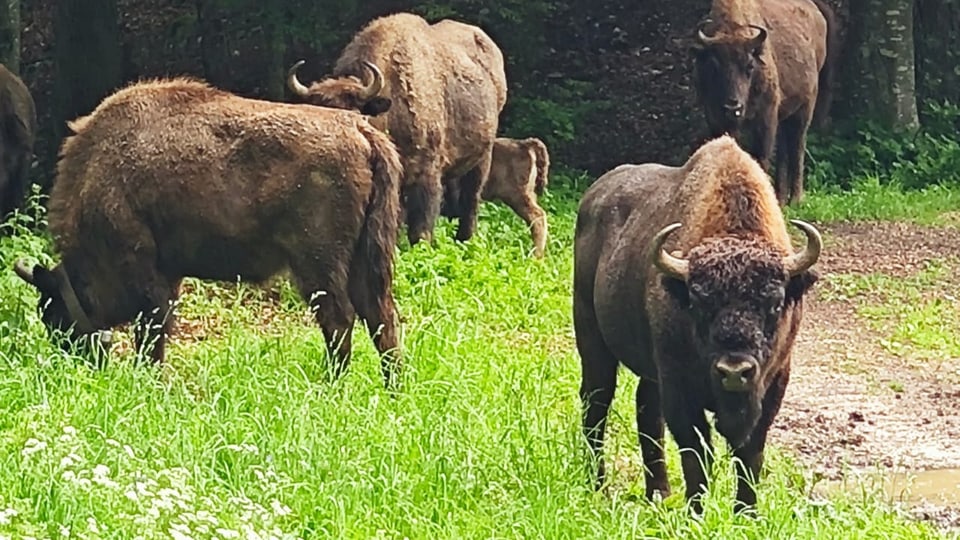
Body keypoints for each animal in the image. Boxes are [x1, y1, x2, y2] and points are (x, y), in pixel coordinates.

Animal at [15, 78, 404, 386]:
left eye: (54, 315)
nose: (77, 363)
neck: (99, 174)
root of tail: (361, 131)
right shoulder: (169, 275)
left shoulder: (148, 276)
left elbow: (152, 333)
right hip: (366, 257)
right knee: (382, 317)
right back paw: (391, 390)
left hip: (318, 264)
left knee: (340, 320)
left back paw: (332, 387)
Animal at [572, 134, 820, 510]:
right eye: (699, 303)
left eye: (775, 304)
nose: (734, 371)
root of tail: (592, 198)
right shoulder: (679, 386)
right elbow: (696, 452)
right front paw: (697, 510)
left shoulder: (774, 382)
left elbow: (750, 454)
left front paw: (746, 512)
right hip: (592, 338)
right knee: (597, 403)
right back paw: (598, 486)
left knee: (646, 411)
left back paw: (658, 493)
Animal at [688, 0, 840, 206]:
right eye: (713, 66)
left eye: (750, 66)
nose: (733, 106)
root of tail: (817, 12)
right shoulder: (716, 118)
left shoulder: (766, 118)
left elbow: (762, 157)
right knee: (784, 150)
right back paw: (782, 198)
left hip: (805, 108)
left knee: (797, 148)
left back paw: (796, 199)